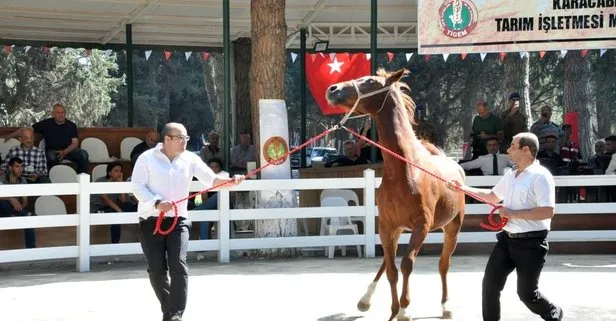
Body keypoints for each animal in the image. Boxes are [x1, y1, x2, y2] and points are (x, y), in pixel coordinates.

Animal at [324, 69, 464, 318]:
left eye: (371, 81)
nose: (333, 90)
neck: (406, 170)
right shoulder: (386, 225)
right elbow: (391, 269)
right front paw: (393, 310)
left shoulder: (422, 226)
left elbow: (407, 264)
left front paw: (404, 310)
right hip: (397, 229)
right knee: (388, 262)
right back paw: (365, 299)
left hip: (453, 227)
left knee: (443, 264)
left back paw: (446, 306)